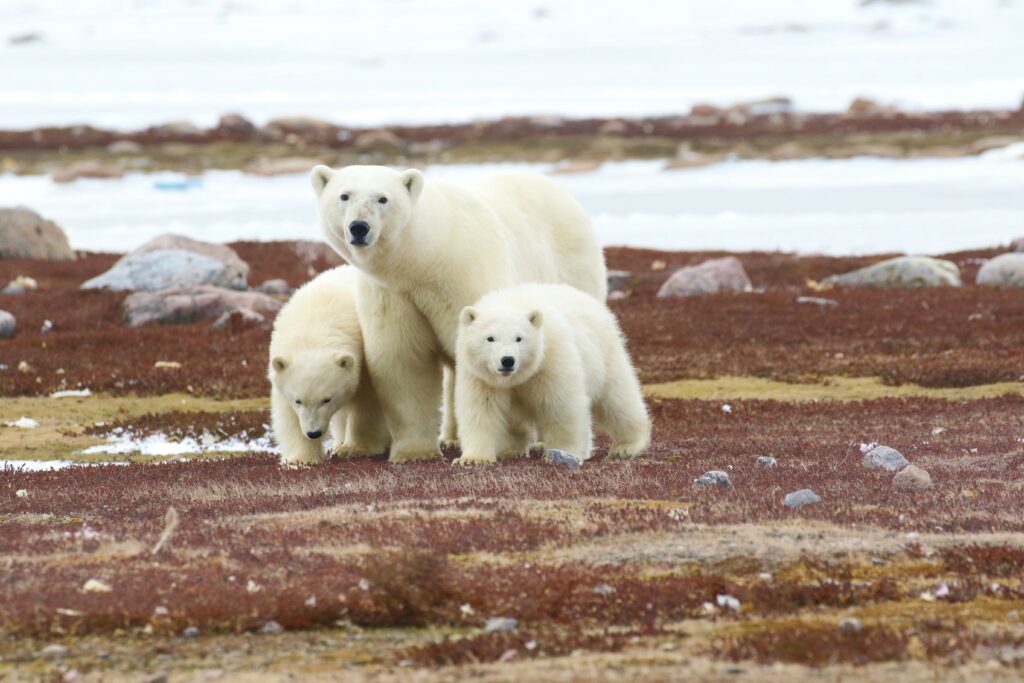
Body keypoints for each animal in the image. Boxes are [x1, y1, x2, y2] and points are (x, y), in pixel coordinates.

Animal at [311, 165, 606, 464]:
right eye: (344, 195)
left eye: (383, 198)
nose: (359, 227)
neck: (426, 260)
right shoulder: (392, 293)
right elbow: (404, 361)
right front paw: (413, 453)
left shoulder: (466, 279)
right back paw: (451, 437)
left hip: (572, 270)